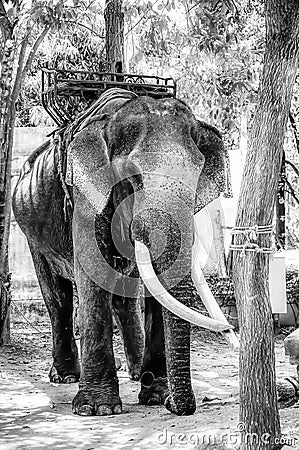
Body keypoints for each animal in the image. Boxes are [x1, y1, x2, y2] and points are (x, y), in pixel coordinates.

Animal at [12, 86, 233, 416]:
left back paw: (134, 371)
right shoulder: (85, 197)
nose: (176, 405)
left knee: (123, 296)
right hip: (32, 230)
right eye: (132, 177)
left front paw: (155, 395)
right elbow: (93, 273)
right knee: (57, 297)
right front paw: (97, 409)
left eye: (197, 174)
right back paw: (66, 376)